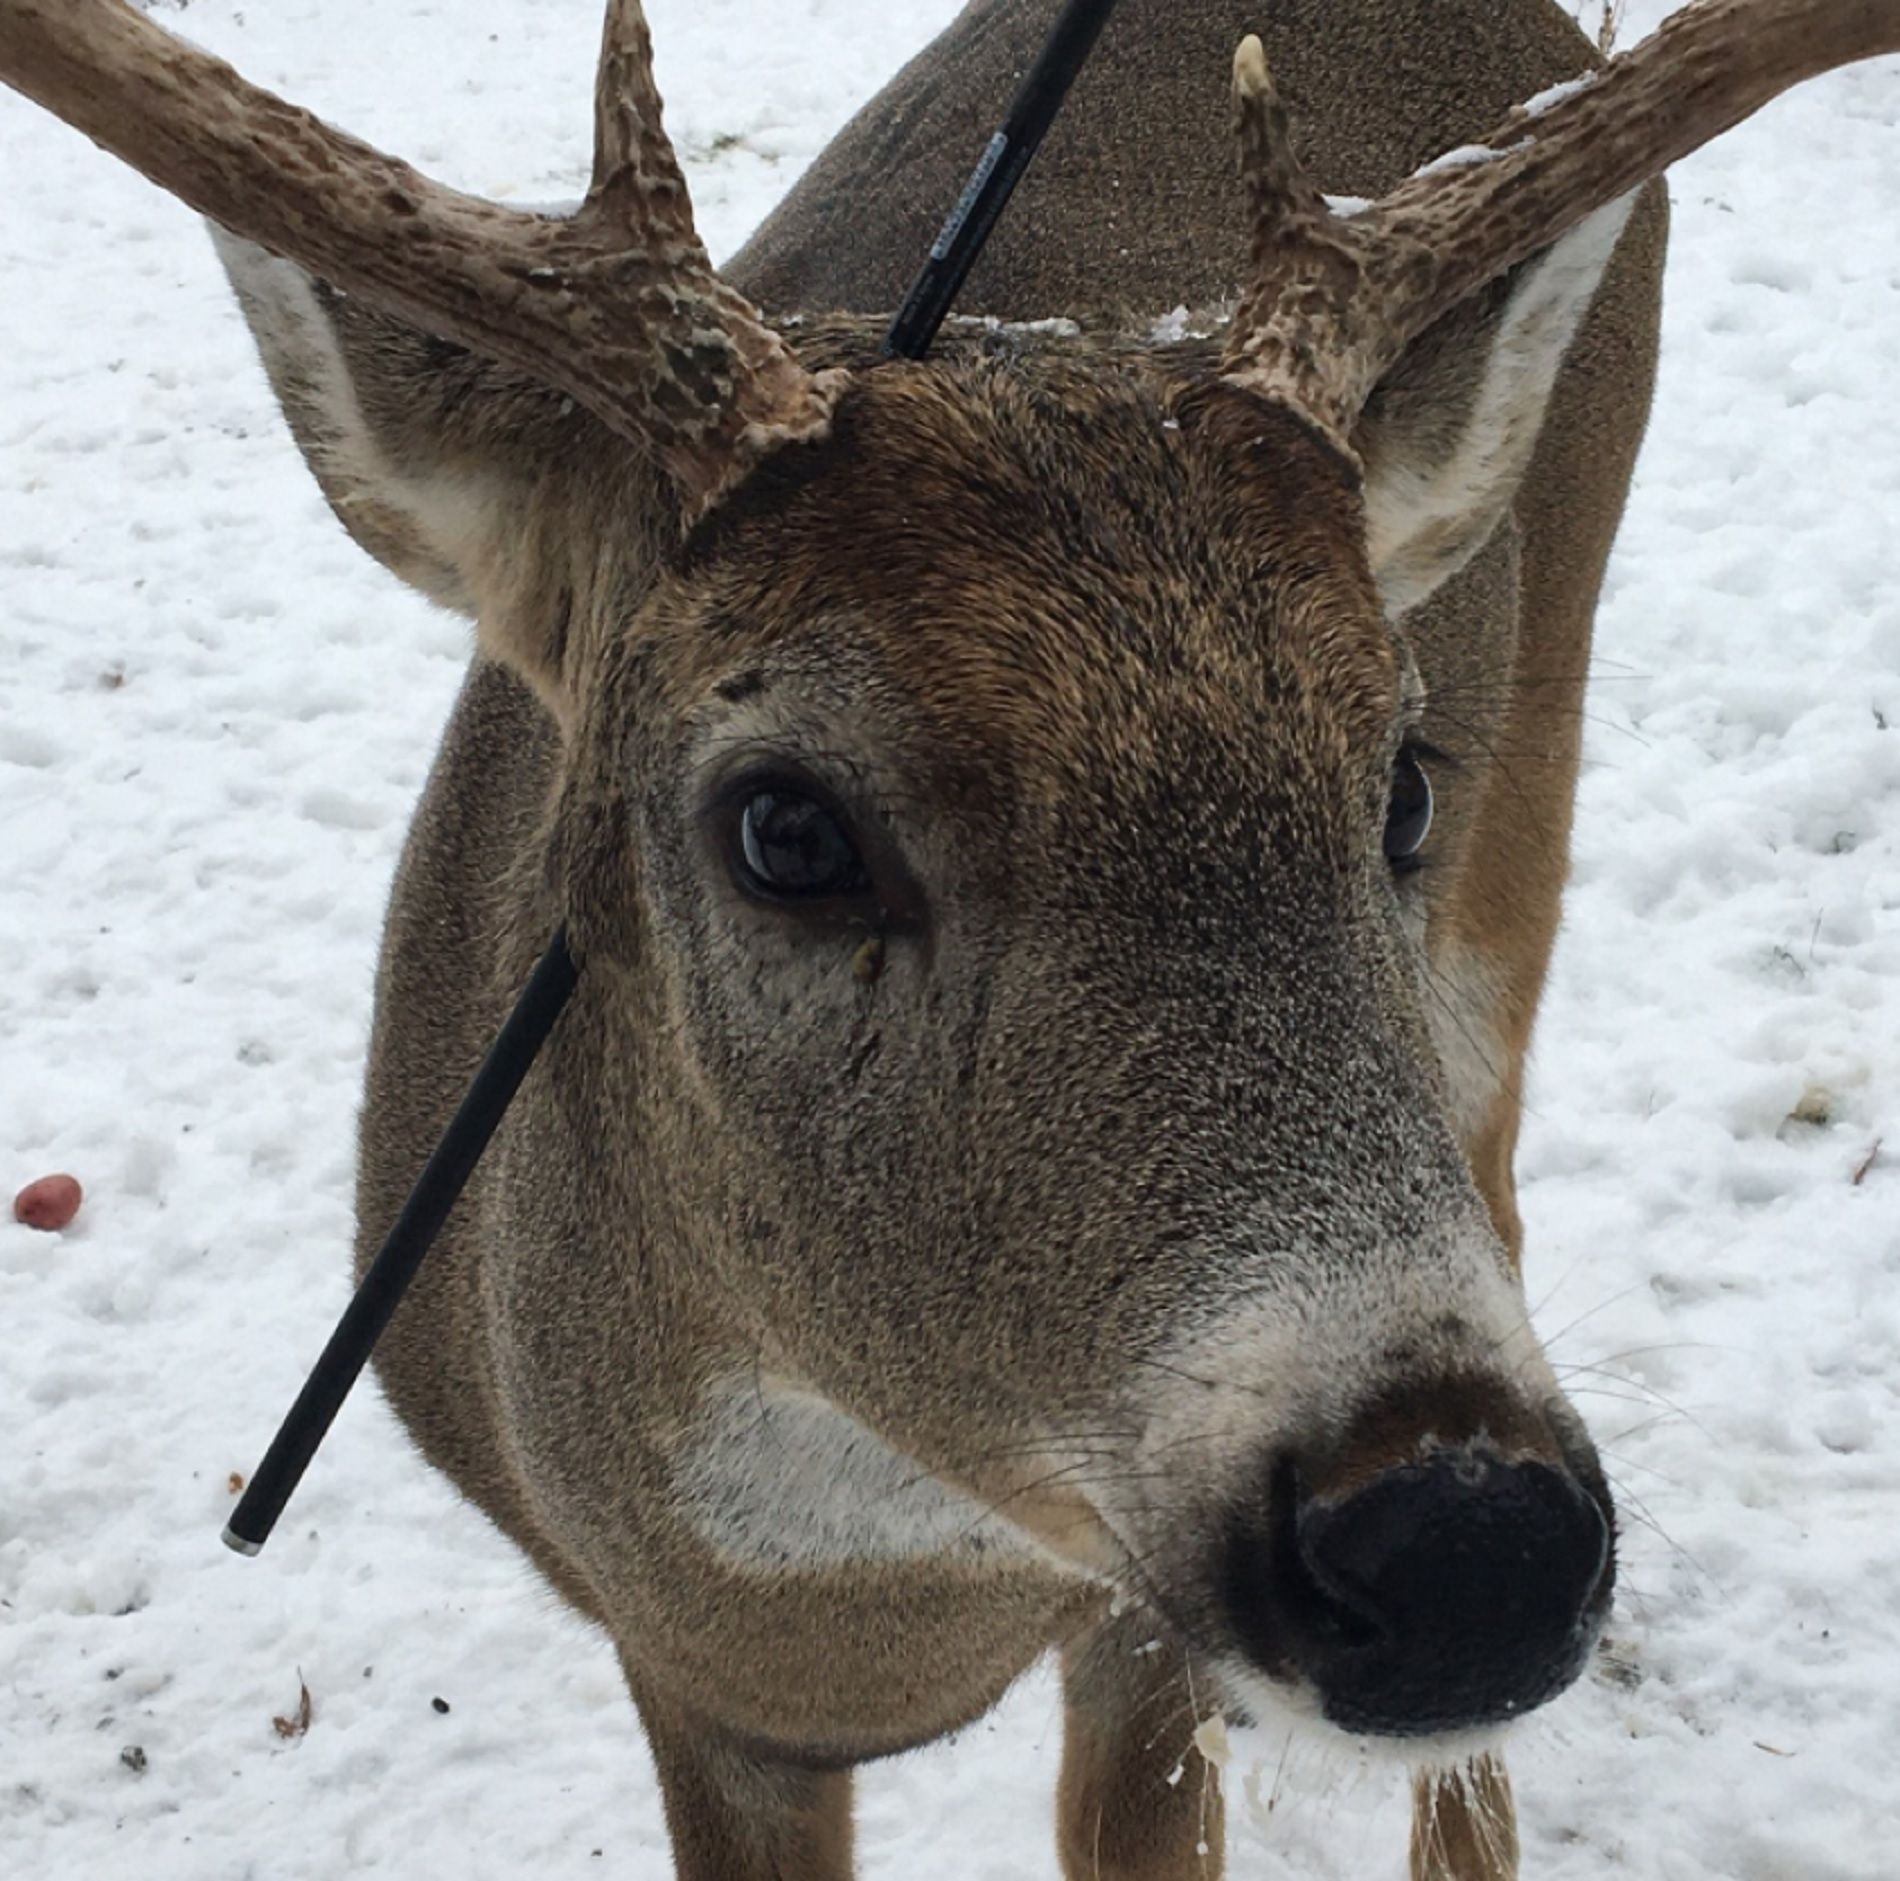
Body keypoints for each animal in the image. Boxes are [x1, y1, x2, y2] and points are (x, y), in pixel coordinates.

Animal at [7, 0, 1892, 1877]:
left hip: (1527, 834)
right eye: (784, 828)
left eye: (1401, 787)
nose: (1465, 1545)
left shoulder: (1132, 1633)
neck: (882, 1613)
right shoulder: (700, 1691)